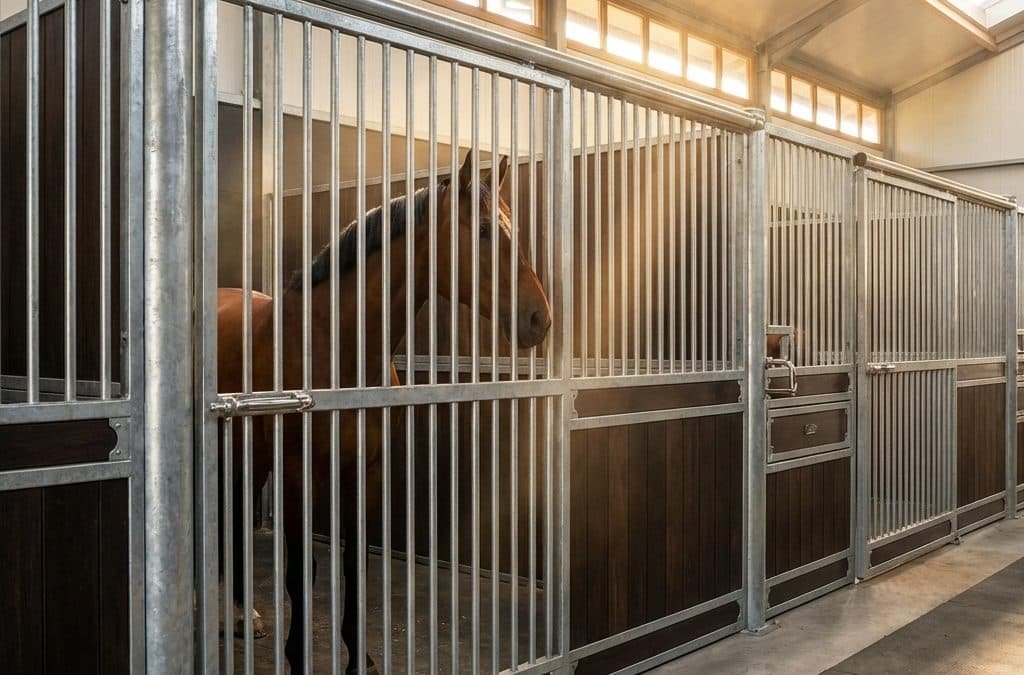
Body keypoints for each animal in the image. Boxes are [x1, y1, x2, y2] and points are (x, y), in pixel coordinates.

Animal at [217, 151, 553, 673]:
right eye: (481, 230)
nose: (539, 319)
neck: (336, 347)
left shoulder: (368, 472)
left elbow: (354, 564)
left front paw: (361, 658)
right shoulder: (297, 475)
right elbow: (301, 571)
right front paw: (296, 656)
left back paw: (242, 615)